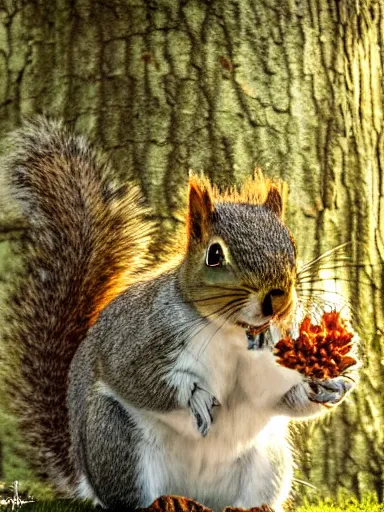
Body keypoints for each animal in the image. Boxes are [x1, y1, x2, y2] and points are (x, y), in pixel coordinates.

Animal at [1, 118, 356, 510]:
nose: (278, 299)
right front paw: (195, 396)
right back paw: (161, 502)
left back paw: (253, 506)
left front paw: (328, 386)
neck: (232, 333)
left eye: (291, 242)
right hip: (117, 440)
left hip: (269, 459)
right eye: (214, 255)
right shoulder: (142, 338)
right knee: (126, 497)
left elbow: (281, 397)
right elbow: (139, 379)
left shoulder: (271, 360)